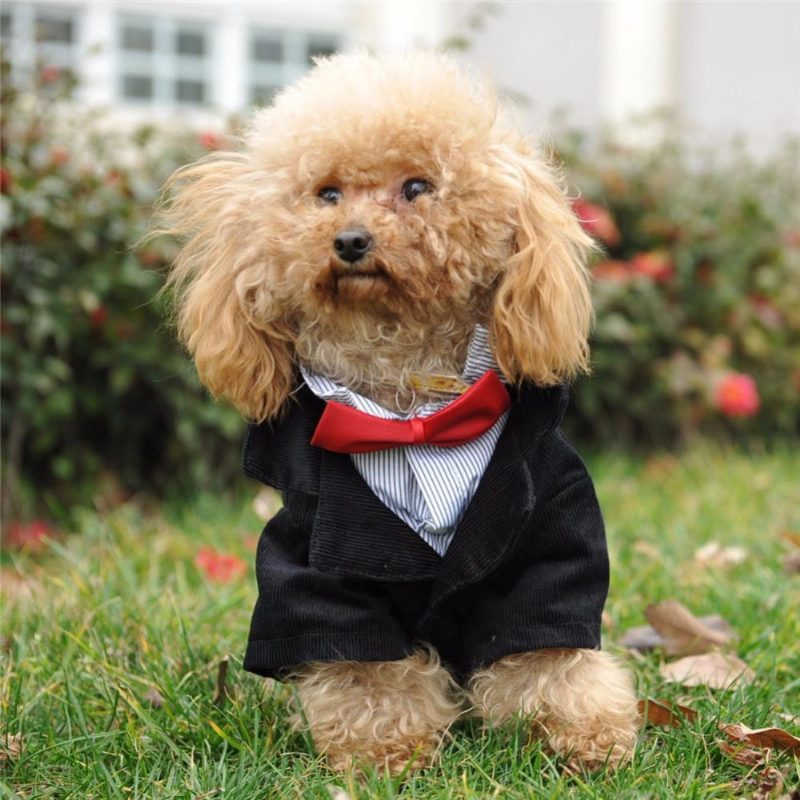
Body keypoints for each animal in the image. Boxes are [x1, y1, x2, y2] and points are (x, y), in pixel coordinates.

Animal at [161, 51, 636, 776]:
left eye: (417, 185)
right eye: (327, 193)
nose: (350, 240)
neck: (408, 402)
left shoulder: (552, 532)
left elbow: (545, 648)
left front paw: (578, 733)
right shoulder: (321, 566)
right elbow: (363, 667)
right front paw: (385, 747)